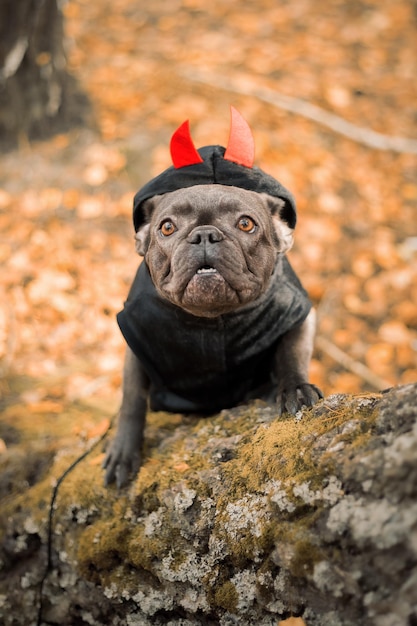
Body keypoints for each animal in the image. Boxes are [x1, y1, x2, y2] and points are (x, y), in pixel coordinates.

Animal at [104, 108, 322, 488]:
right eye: (167, 227)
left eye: (246, 224)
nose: (204, 234)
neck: (212, 320)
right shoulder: (136, 337)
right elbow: (131, 398)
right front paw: (123, 453)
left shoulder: (297, 314)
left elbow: (292, 354)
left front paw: (294, 389)